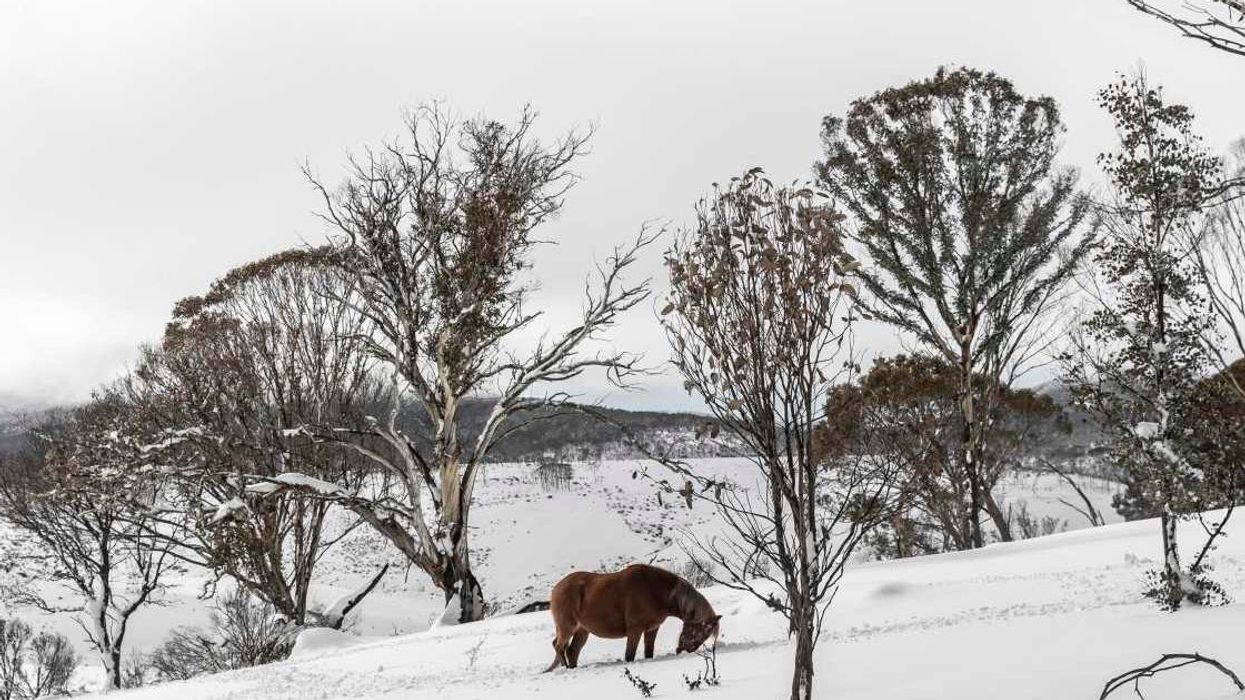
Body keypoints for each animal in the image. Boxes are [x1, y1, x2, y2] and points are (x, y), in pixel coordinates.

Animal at [544, 563, 721, 671]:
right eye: (700, 631)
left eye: (706, 635)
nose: (684, 650)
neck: (654, 591)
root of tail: (556, 589)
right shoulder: (635, 629)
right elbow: (629, 655)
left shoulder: (652, 629)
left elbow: (648, 653)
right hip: (568, 627)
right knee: (559, 647)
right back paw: (565, 668)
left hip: (582, 630)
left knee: (572, 651)